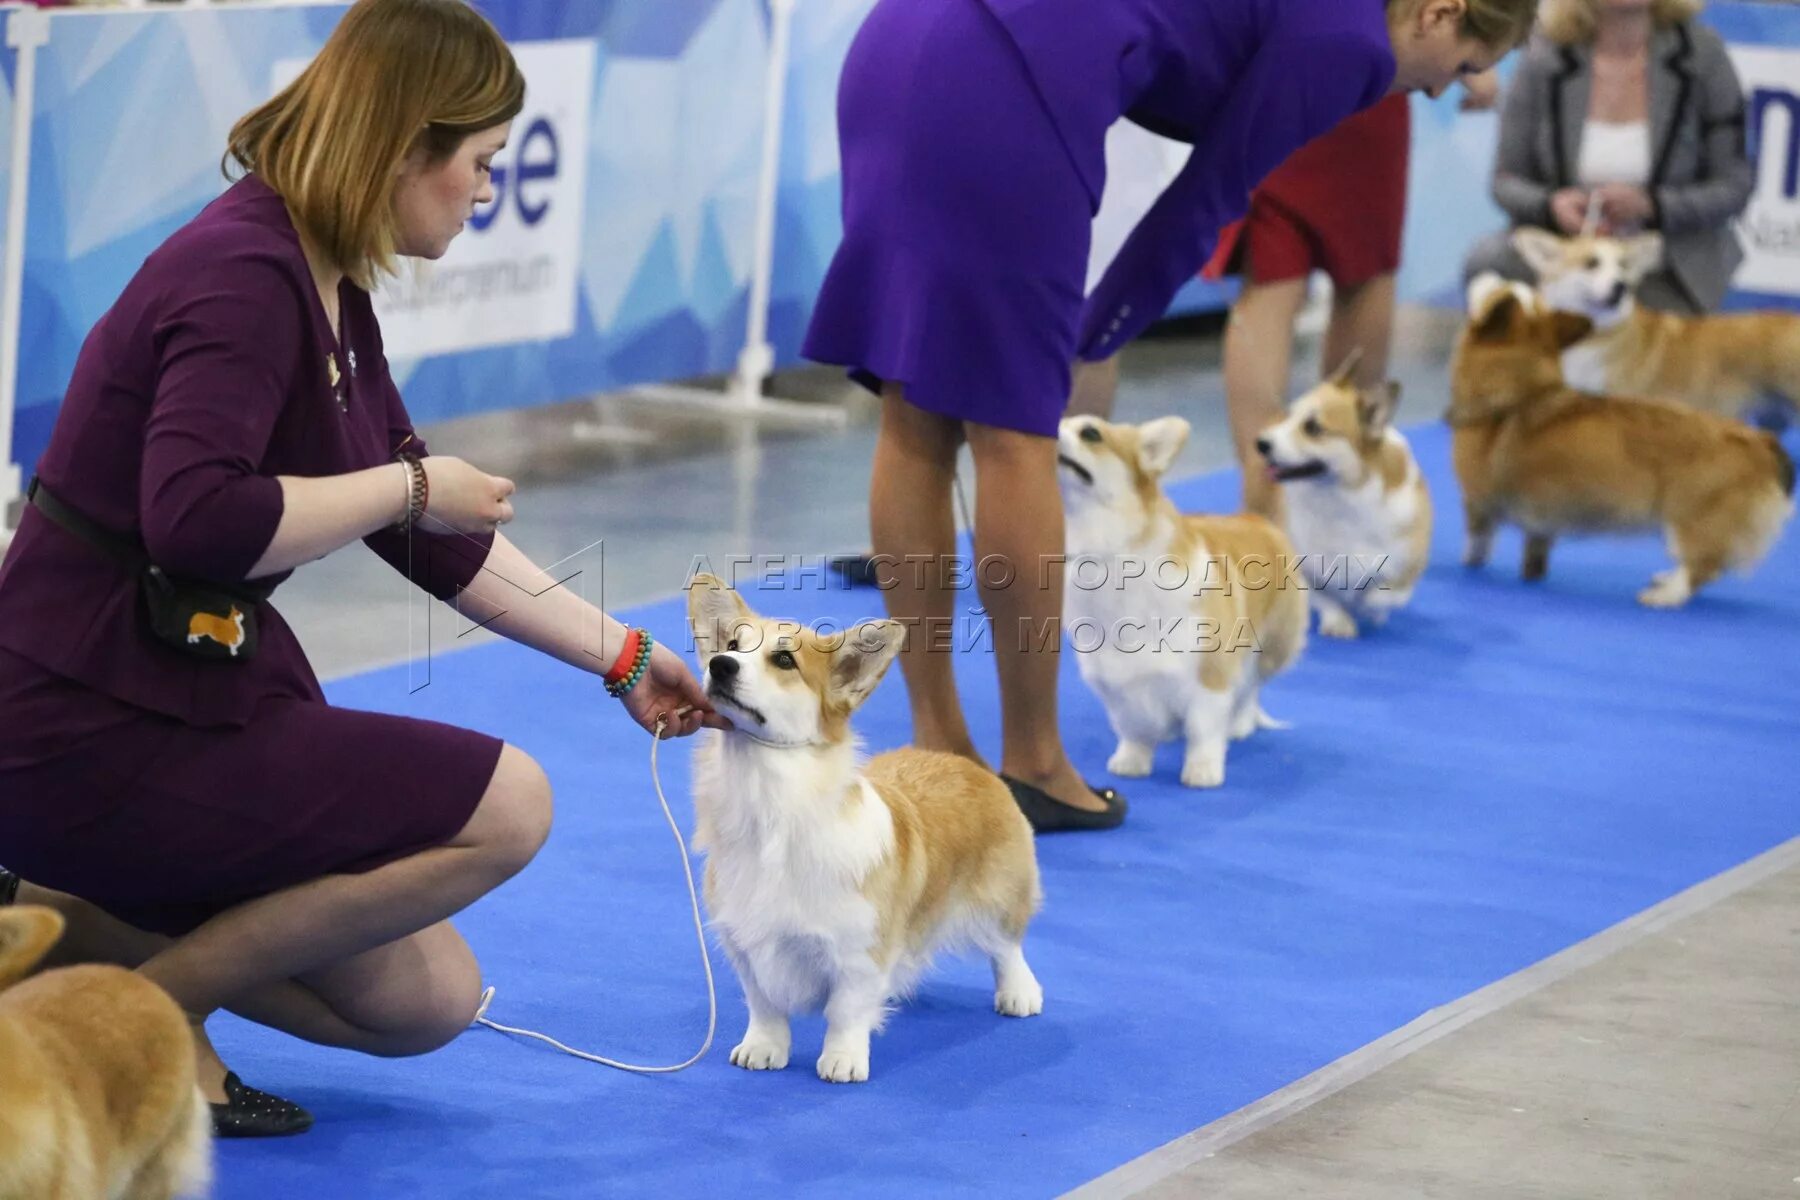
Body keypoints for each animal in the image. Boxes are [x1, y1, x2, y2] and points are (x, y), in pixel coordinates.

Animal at [684, 575, 1044, 1086]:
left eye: (784, 660)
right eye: (732, 645)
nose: (720, 665)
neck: (772, 807)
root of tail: (959, 761)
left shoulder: (859, 953)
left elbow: (846, 1012)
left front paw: (842, 1060)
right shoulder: (746, 944)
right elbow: (765, 1005)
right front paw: (763, 1049)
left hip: (1001, 892)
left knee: (1007, 946)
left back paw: (1019, 993)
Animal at [1058, 417, 1303, 791]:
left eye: (1090, 433)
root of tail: (1257, 520)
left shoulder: (1209, 674)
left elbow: (1203, 729)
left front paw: (1202, 770)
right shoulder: (1114, 681)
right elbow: (1133, 726)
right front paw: (1132, 761)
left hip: (1272, 648)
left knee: (1251, 686)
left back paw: (1240, 724)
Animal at [1252, 354, 1432, 644]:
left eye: (1312, 428)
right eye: (1289, 415)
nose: (1260, 443)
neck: (1341, 497)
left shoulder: (1406, 567)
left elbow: (1383, 594)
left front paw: (1368, 609)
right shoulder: (1304, 565)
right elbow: (1325, 597)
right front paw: (1339, 622)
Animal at [1454, 278, 1792, 600]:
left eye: (1496, 294)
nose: (1485, 281)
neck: (1521, 388)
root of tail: (1761, 441)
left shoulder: (1477, 501)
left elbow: (1477, 540)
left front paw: (1469, 566)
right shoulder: (1539, 523)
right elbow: (1536, 546)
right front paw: (1532, 574)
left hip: (1692, 522)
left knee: (1703, 567)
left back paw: (1664, 596)